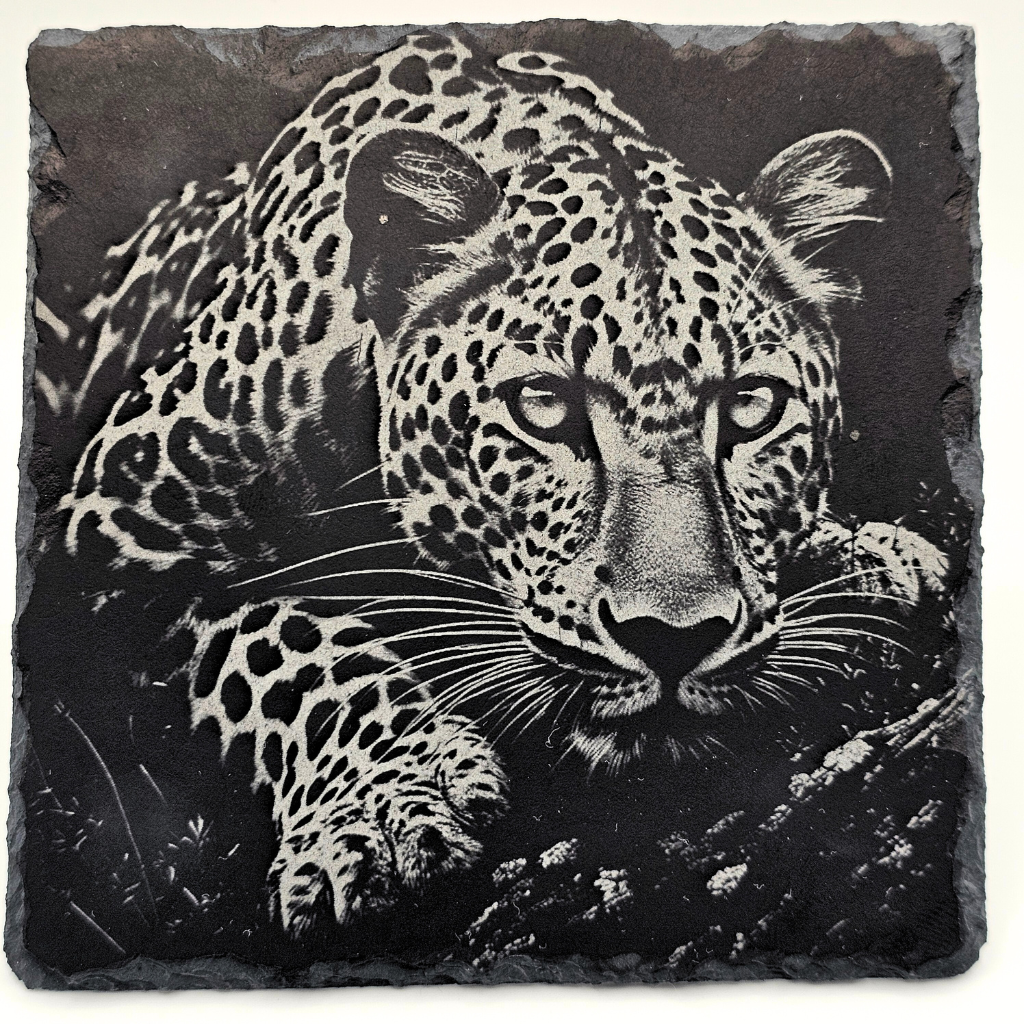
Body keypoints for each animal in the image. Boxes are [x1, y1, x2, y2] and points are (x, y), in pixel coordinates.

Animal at [51, 31, 955, 941]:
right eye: (545, 408)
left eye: (752, 407)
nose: (673, 639)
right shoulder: (102, 557)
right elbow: (278, 635)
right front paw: (387, 802)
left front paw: (862, 552)